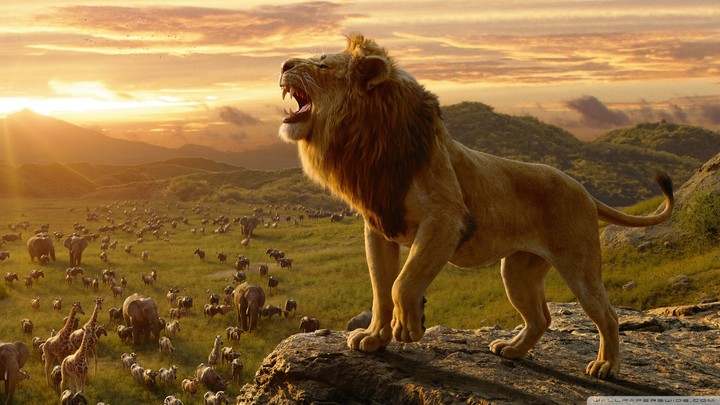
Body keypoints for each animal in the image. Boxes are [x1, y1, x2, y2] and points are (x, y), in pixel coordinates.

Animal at [278, 33, 673, 380]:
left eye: (322, 64)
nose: (283, 64)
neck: (365, 141)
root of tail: (584, 190)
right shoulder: (378, 226)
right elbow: (380, 289)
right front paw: (374, 339)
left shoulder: (446, 219)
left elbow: (402, 283)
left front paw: (409, 328)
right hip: (517, 271)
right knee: (541, 317)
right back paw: (511, 350)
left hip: (579, 265)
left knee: (606, 314)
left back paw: (606, 366)